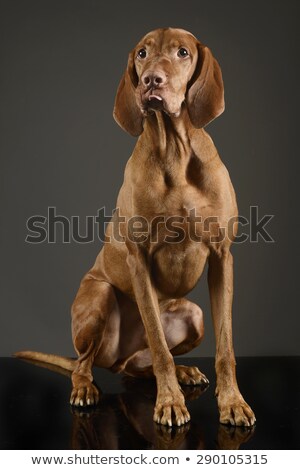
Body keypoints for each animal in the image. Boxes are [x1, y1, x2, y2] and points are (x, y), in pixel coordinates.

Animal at [15, 27, 255, 428]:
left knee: (135, 366)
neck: (174, 151)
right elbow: (160, 349)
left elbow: (226, 347)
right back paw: (86, 387)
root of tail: (114, 358)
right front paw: (170, 402)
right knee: (86, 364)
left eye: (183, 52)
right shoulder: (138, 260)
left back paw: (184, 372)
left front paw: (232, 401)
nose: (150, 81)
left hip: (194, 315)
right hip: (99, 297)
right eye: (142, 54)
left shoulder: (223, 256)